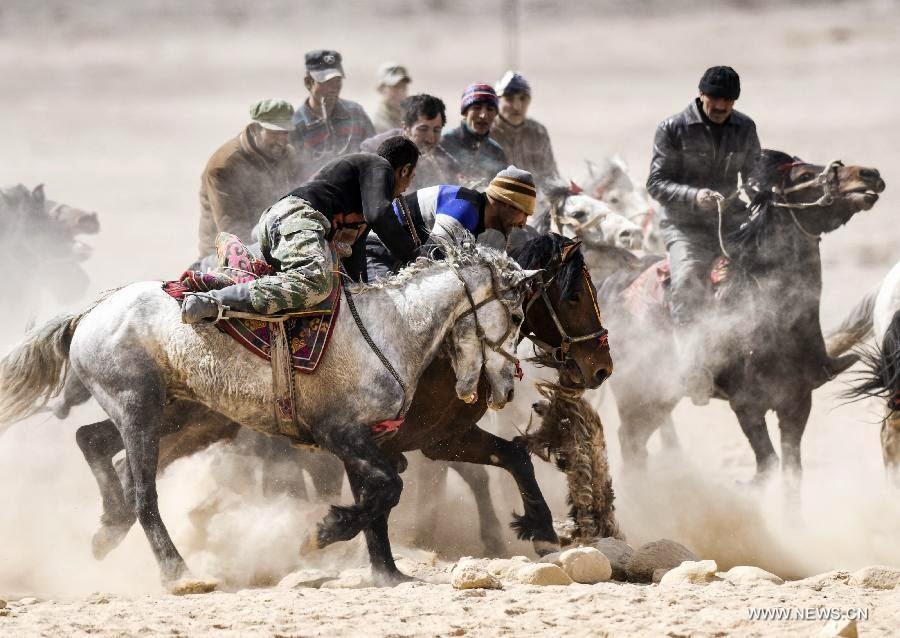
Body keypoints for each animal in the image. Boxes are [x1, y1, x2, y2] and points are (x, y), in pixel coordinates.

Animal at [67, 234, 608, 584]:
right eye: (570, 295)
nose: (601, 368)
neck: (396, 329)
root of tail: (91, 312)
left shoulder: (405, 440)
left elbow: (502, 459)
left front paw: (389, 571)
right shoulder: (347, 436)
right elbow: (386, 491)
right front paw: (325, 534)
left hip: (177, 411)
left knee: (95, 444)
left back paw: (105, 532)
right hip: (142, 409)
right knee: (142, 493)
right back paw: (178, 574)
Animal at [596, 151, 884, 484]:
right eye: (802, 176)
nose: (869, 174)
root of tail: (609, 286)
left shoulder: (797, 402)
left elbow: (791, 471)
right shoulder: (746, 405)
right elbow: (767, 464)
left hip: (661, 398)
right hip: (639, 395)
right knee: (630, 442)